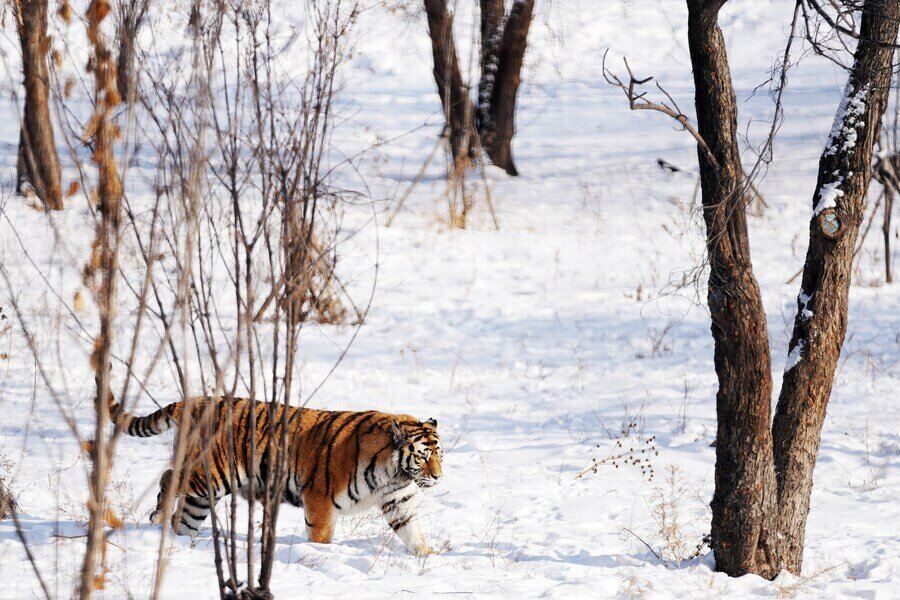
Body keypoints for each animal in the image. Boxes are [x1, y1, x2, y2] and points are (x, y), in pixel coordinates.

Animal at [112, 397, 443, 556]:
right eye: (423, 456)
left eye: (440, 454)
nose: (439, 477)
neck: (393, 472)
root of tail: (193, 401)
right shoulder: (320, 499)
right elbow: (321, 537)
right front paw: (322, 553)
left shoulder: (398, 501)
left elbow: (412, 531)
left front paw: (428, 554)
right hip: (211, 474)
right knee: (169, 477)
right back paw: (157, 517)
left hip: (205, 494)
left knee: (184, 518)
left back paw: (182, 542)